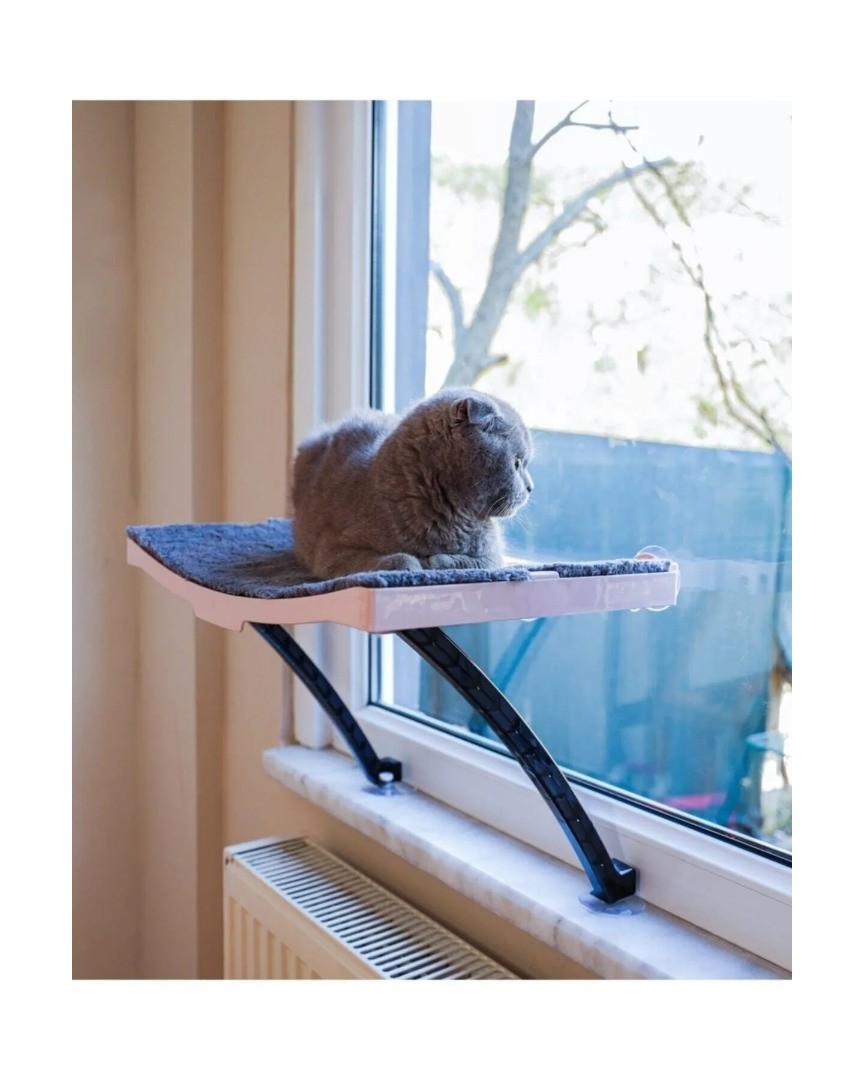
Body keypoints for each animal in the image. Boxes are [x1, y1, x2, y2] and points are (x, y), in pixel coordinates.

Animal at [291, 387, 534, 579]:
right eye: (517, 464)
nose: (531, 487)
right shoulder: (331, 550)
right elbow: (399, 559)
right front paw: (415, 564)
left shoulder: (493, 556)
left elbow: (471, 561)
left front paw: (434, 561)